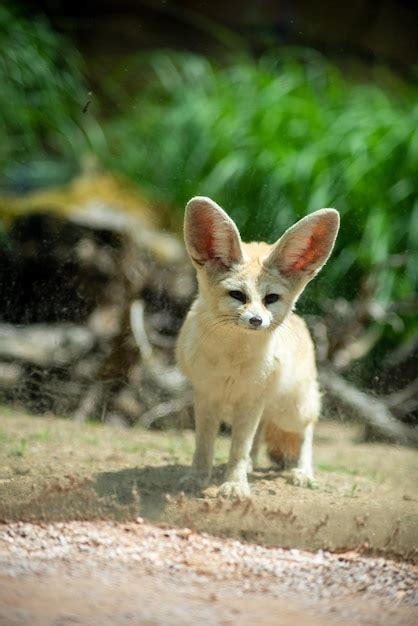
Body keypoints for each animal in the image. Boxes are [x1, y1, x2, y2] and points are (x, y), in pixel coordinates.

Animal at [176, 195, 340, 498]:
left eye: (271, 298)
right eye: (237, 295)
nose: (256, 320)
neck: (231, 359)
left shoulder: (250, 399)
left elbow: (238, 449)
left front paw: (234, 484)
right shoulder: (206, 394)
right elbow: (204, 444)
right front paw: (197, 477)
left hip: (291, 411)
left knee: (307, 430)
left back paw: (303, 472)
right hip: (242, 411)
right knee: (259, 435)